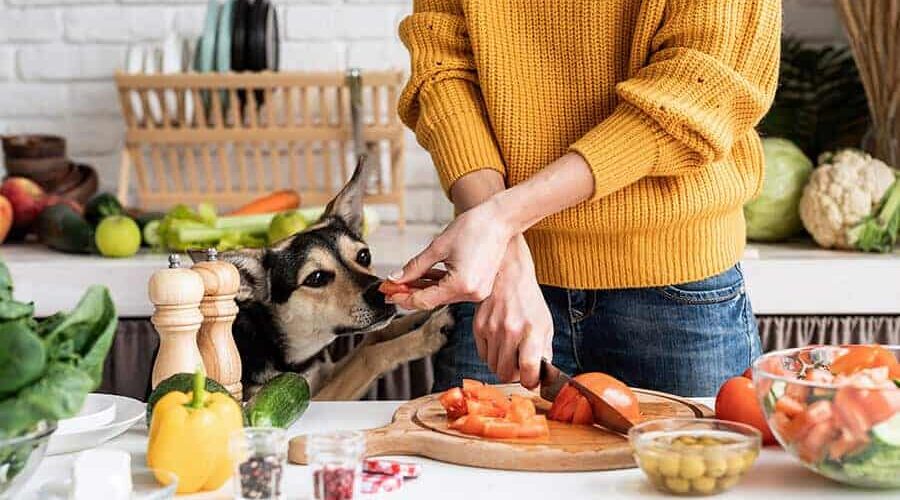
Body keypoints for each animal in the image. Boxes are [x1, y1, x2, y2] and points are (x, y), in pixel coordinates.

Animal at [194, 158, 454, 400]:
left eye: (364, 255)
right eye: (316, 278)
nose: (380, 293)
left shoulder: (323, 373)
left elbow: (373, 337)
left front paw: (419, 317)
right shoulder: (310, 396)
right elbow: (369, 355)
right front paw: (426, 334)